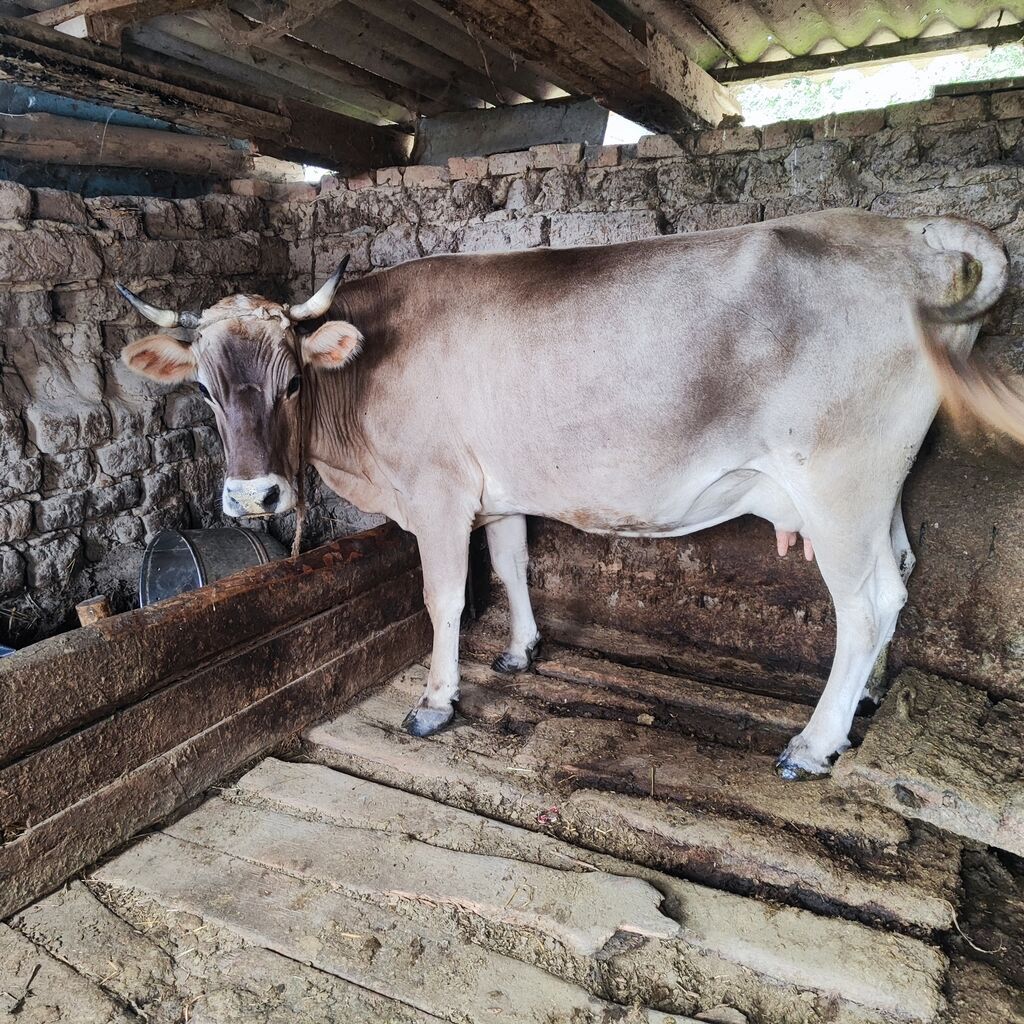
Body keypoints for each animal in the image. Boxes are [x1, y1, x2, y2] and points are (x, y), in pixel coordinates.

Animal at [117, 208, 1023, 780]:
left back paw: (814, 742)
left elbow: (444, 597)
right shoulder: (499, 487)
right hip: (882, 485)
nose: (255, 499)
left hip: (842, 479)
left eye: (296, 381)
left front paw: (437, 700)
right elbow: (513, 566)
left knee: (867, 602)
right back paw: (863, 696)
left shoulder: (438, 490)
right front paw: (521, 650)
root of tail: (904, 231)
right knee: (899, 572)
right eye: (204, 391)